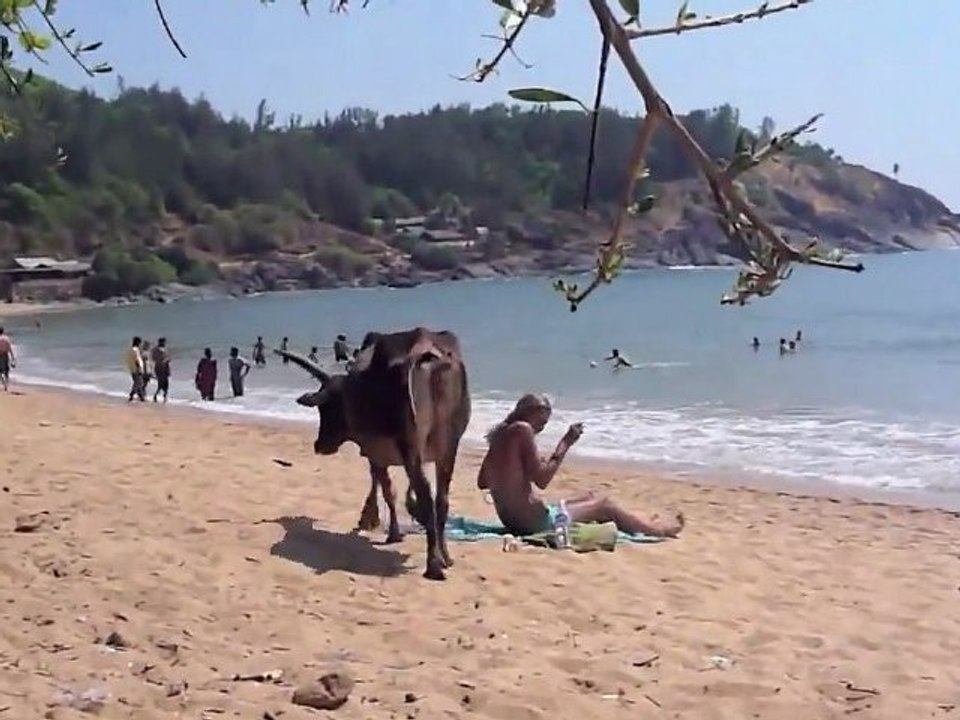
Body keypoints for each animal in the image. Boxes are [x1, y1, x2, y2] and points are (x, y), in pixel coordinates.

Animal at [276, 327, 471, 581]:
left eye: (325, 407)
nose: (319, 445)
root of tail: (428, 351)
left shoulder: (374, 453)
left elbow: (386, 489)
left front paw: (386, 528)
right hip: (448, 448)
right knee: (441, 501)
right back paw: (445, 557)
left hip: (412, 447)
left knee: (427, 499)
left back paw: (434, 565)